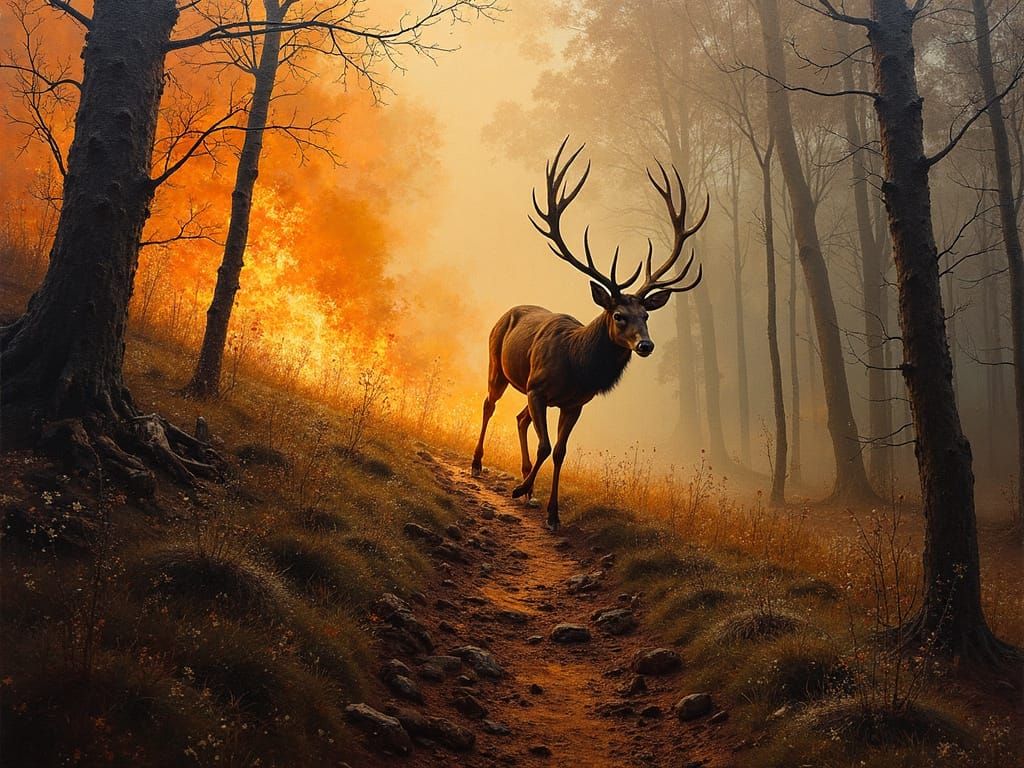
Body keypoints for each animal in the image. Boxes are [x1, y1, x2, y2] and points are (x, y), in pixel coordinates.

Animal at [471, 138, 709, 531]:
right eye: (619, 315)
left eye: (646, 315)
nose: (646, 344)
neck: (575, 366)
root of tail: (507, 311)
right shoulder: (537, 388)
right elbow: (545, 446)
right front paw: (521, 490)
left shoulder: (575, 403)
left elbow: (560, 451)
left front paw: (551, 512)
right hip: (496, 363)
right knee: (490, 404)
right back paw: (478, 464)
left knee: (519, 418)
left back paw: (526, 484)